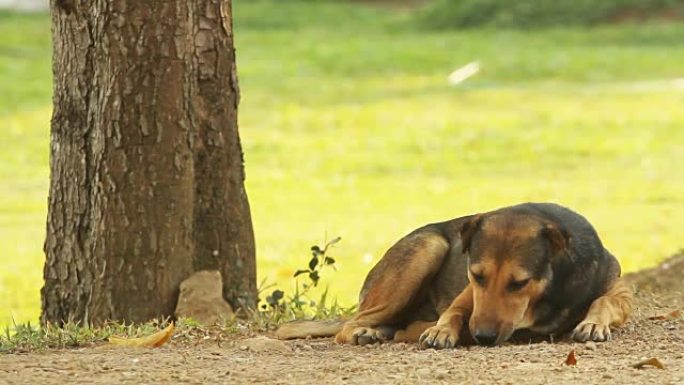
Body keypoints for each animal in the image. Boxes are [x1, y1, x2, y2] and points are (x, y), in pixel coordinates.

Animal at [276, 202, 632, 346]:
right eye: (476, 276)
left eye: (520, 283)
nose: (484, 336)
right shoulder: (468, 292)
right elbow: (456, 310)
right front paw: (441, 331)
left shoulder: (621, 292)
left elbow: (604, 301)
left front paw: (593, 323)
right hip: (428, 247)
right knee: (351, 324)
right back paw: (369, 332)